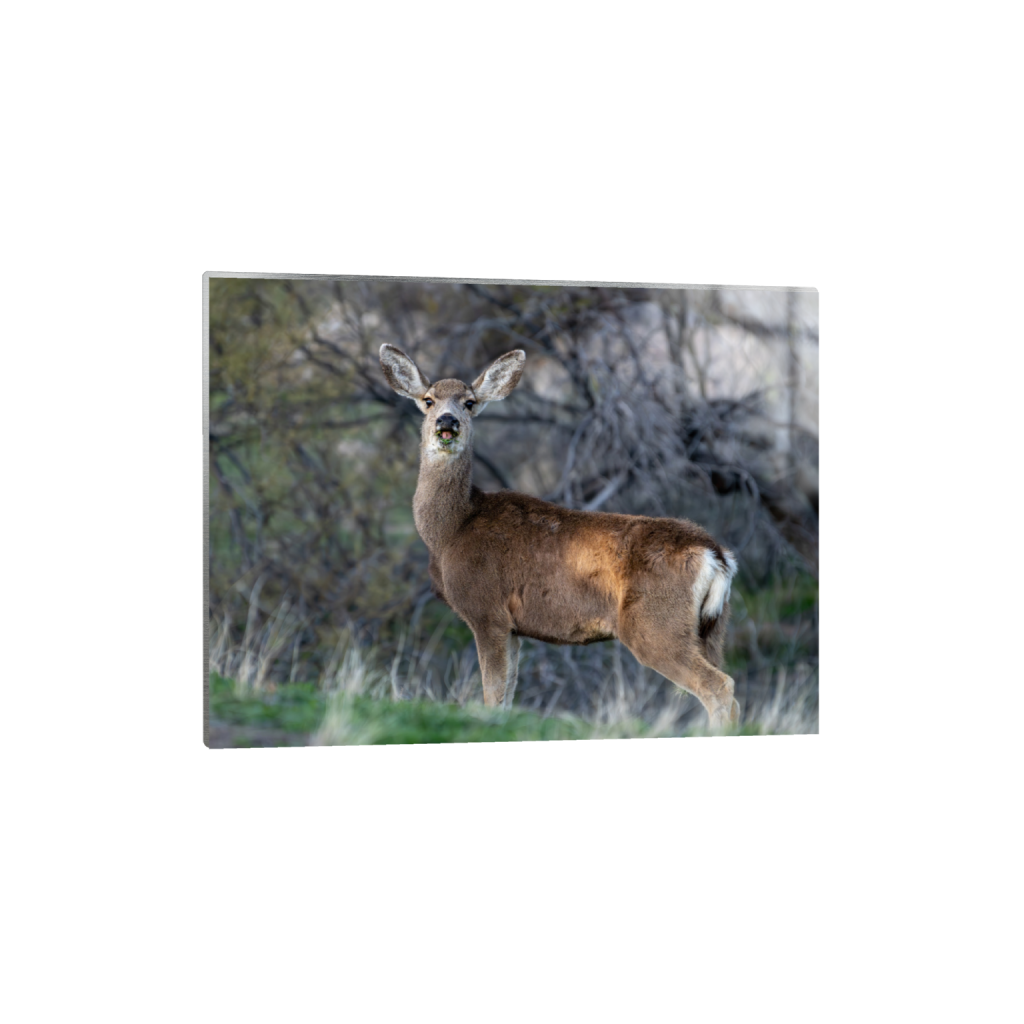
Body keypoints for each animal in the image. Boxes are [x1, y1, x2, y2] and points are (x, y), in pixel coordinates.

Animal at [379, 343, 741, 731]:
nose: (447, 422)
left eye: (470, 402)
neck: (451, 531)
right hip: (712, 628)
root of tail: (716, 554)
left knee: (719, 687)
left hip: (655, 623)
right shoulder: (512, 627)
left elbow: (492, 695)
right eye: (429, 400)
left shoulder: (487, 611)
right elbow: (507, 695)